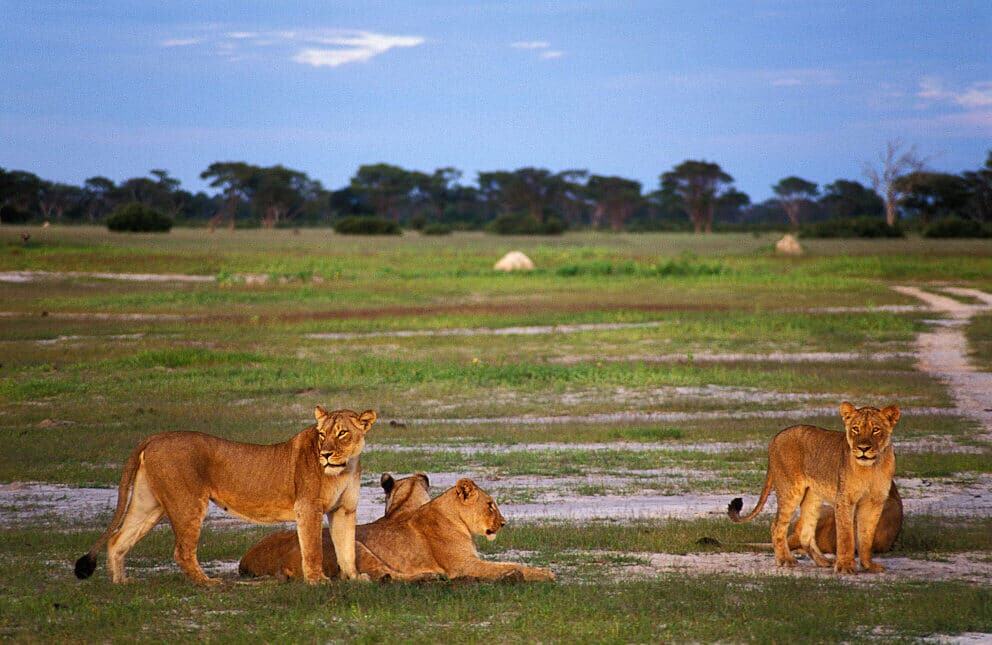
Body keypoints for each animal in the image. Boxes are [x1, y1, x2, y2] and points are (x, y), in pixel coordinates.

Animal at [74, 406, 377, 585]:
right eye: (322, 434)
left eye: (342, 433)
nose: (325, 454)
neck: (345, 467)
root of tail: (156, 436)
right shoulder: (308, 508)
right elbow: (313, 548)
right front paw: (317, 580)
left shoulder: (344, 510)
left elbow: (346, 548)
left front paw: (355, 577)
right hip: (187, 503)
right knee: (181, 551)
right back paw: (208, 583)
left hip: (148, 505)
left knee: (117, 539)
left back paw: (121, 583)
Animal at [728, 402, 900, 574]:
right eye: (855, 428)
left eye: (876, 429)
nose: (863, 448)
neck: (872, 468)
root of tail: (776, 437)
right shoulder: (844, 499)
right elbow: (846, 536)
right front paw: (845, 566)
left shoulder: (875, 501)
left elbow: (866, 537)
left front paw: (868, 565)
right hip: (791, 491)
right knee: (777, 526)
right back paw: (785, 560)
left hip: (813, 497)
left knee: (805, 534)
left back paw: (823, 561)